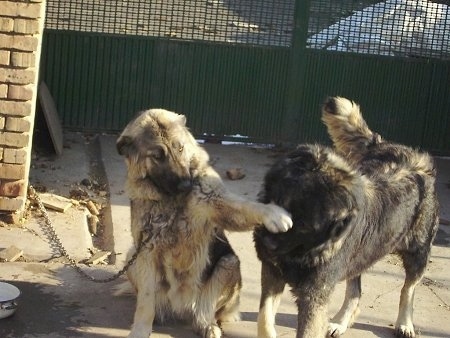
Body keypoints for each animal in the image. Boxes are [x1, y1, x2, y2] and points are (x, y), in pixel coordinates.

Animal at [116, 109, 292, 338]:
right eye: (157, 156)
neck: (171, 202)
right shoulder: (146, 251)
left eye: (180, 148)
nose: (186, 185)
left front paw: (273, 214)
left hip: (228, 264)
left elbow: (246, 207)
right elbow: (146, 302)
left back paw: (207, 325)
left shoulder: (216, 205)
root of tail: (180, 306)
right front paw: (140, 330)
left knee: (205, 310)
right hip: (132, 258)